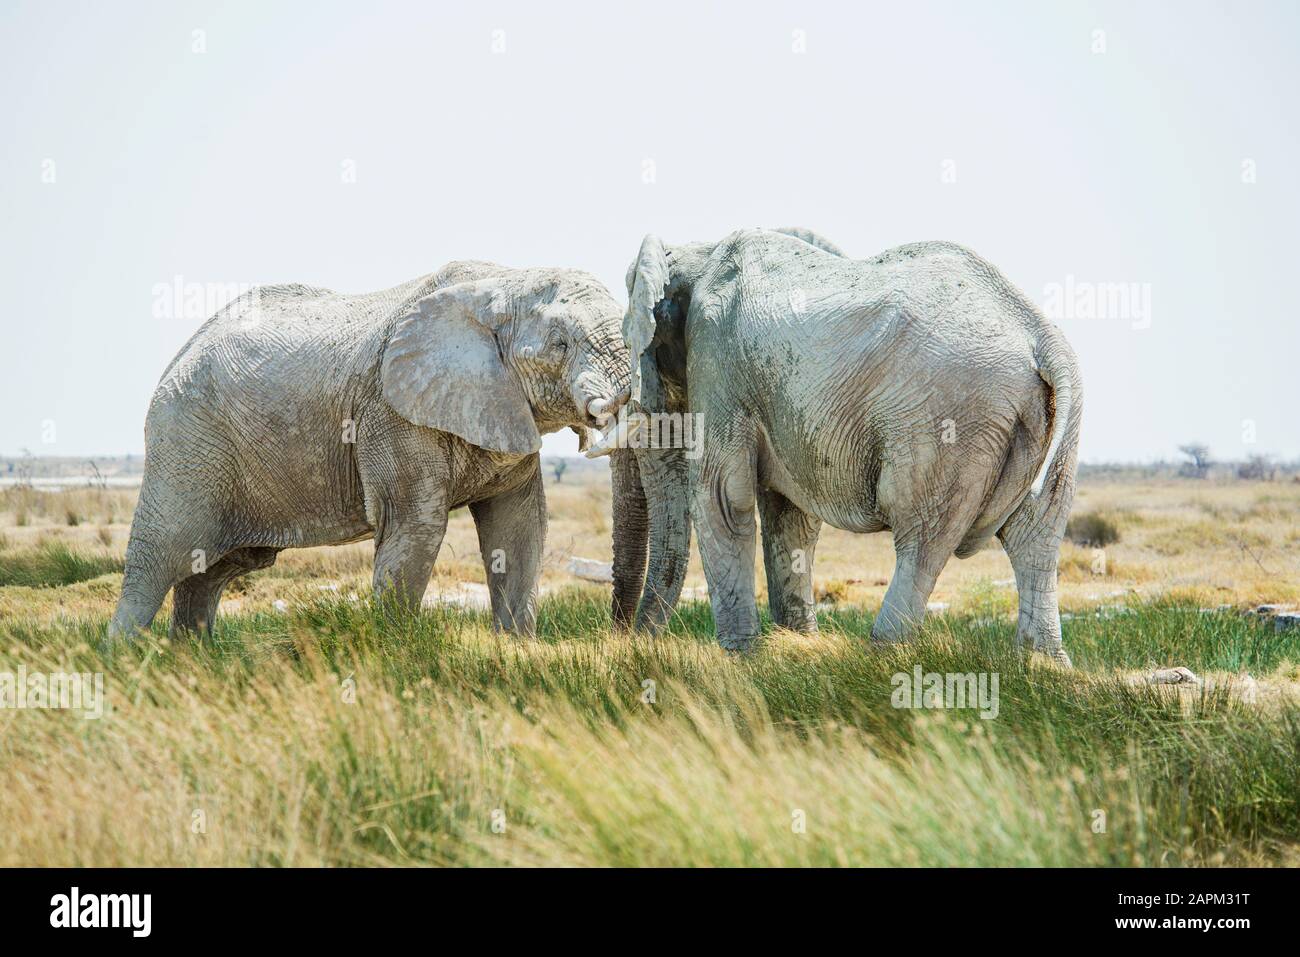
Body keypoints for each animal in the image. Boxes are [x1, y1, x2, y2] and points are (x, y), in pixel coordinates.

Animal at [107, 257, 665, 639]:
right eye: (560, 345)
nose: (621, 634)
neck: (504, 281)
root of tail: (180, 353)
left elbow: (520, 524)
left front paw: (515, 647)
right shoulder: (389, 412)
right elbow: (417, 526)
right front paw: (395, 652)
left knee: (214, 567)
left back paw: (192, 661)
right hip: (186, 440)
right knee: (163, 554)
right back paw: (126, 659)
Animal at [590, 227, 1076, 660]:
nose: (631, 641)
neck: (696, 249)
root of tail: (1042, 336)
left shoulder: (717, 357)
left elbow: (722, 496)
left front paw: (741, 659)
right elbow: (788, 514)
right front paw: (794, 646)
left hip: (950, 416)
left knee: (921, 534)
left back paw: (881, 658)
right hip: (1037, 423)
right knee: (1034, 533)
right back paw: (1044, 666)